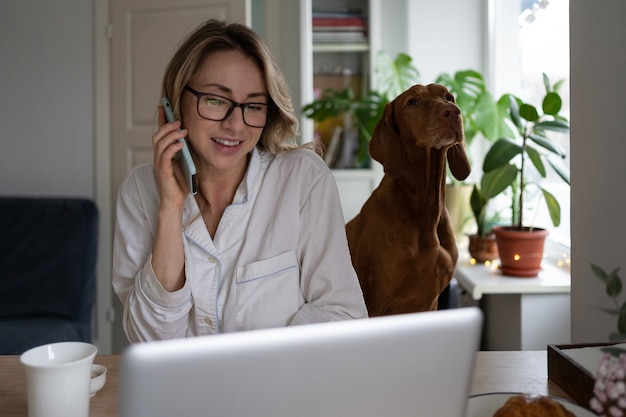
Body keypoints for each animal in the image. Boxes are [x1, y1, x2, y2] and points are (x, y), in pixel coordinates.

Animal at [346, 83, 468, 316]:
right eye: (412, 102)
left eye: (449, 97)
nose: (452, 111)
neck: (426, 208)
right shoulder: (374, 305)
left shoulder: (430, 303)